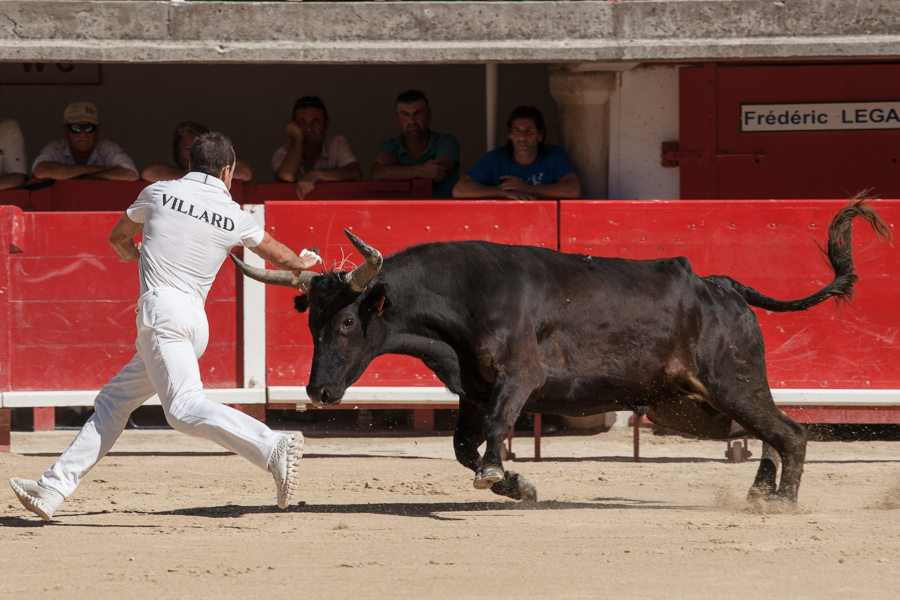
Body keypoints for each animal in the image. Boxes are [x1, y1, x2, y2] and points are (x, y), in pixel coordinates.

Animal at [229, 202, 888, 506]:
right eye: (309, 322)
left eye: (345, 322)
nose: (317, 391)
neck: (464, 302)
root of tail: (723, 286)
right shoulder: (472, 389)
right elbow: (464, 445)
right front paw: (515, 482)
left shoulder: (518, 378)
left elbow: (497, 429)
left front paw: (502, 474)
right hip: (697, 403)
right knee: (769, 434)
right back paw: (760, 494)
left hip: (732, 382)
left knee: (791, 433)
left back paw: (780, 503)